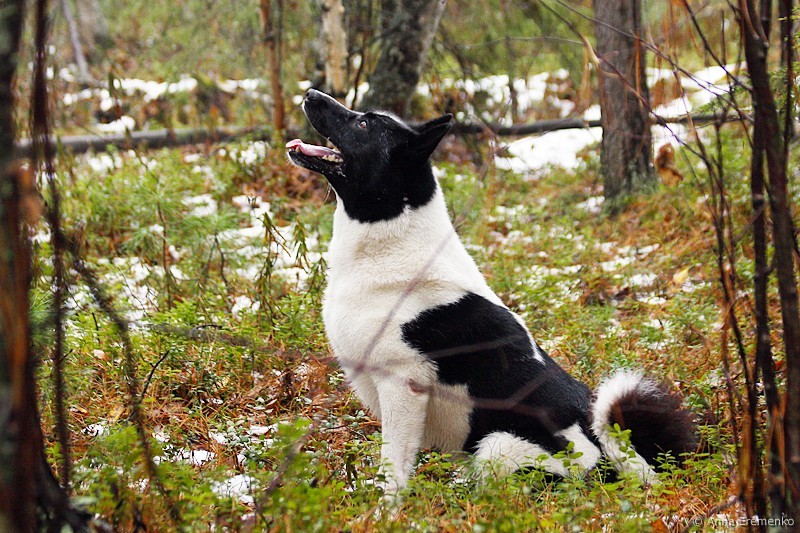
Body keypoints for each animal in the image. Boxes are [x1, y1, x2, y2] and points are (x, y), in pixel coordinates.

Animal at [286, 90, 692, 494]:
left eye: (363, 123)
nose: (309, 93)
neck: (392, 235)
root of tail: (606, 461)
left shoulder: (404, 386)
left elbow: (394, 467)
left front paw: (386, 505)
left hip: (497, 446)